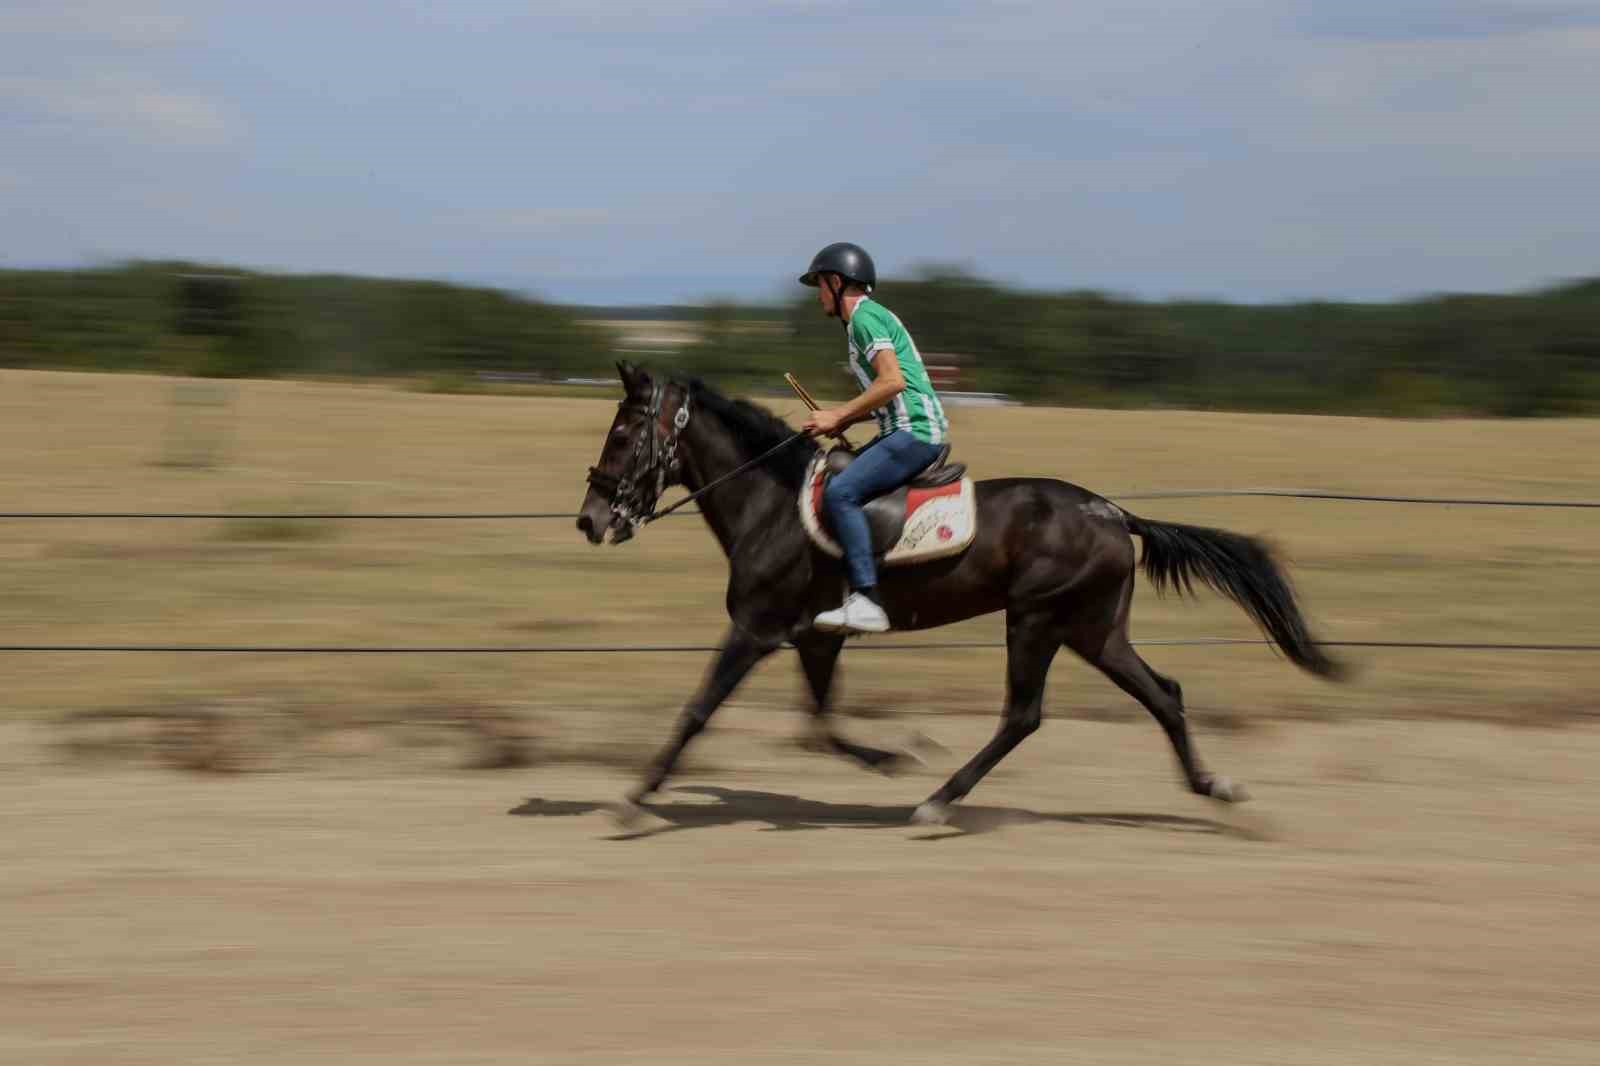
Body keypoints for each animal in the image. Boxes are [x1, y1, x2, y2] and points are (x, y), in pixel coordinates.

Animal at [576, 363, 1337, 819]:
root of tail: (1113, 513)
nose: (590, 519)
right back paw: (1213, 785)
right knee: (1163, 695)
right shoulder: (815, 636)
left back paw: (939, 801)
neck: (772, 501)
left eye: (623, 432)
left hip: (1036, 618)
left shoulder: (756, 628)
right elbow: (817, 726)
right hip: (1092, 628)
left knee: (1023, 715)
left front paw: (636, 795)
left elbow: (699, 709)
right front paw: (892, 754)